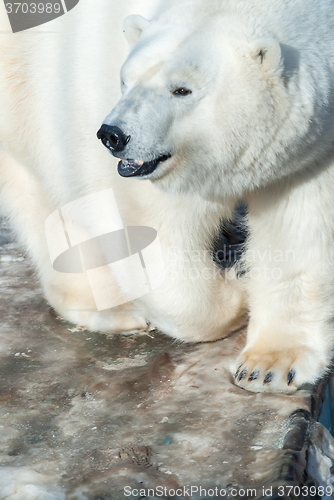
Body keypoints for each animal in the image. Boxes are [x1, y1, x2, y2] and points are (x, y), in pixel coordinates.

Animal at [99, 0, 334, 390]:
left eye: (182, 90)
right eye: (125, 81)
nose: (113, 135)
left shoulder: (312, 152)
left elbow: (298, 226)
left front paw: (269, 366)